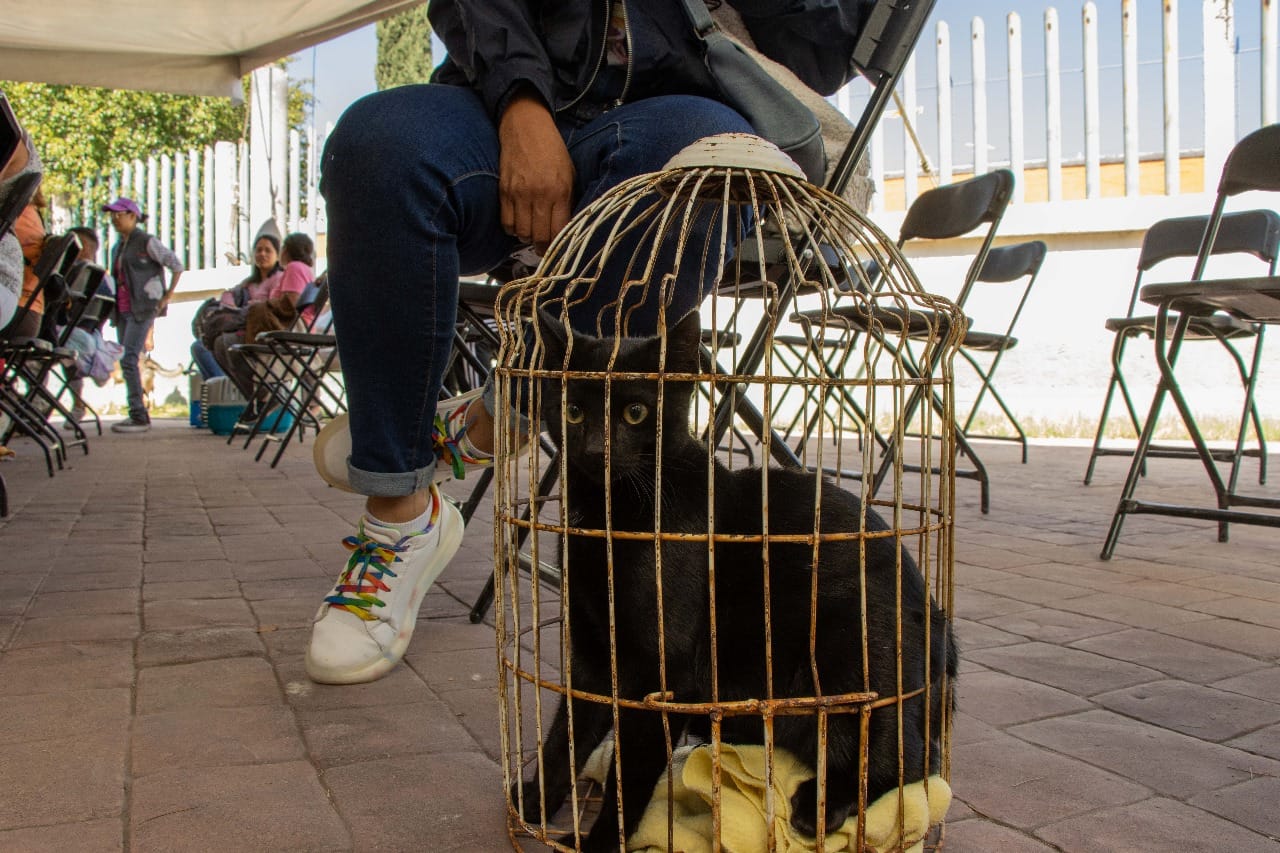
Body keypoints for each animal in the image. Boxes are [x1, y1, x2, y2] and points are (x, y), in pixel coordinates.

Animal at [514, 308, 957, 845]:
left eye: (636, 413)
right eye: (574, 411)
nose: (598, 451)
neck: (611, 517)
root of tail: (940, 627)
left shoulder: (661, 672)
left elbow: (629, 770)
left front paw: (602, 842)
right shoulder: (593, 654)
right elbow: (567, 735)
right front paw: (535, 801)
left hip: (856, 643)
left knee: (913, 763)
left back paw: (819, 805)